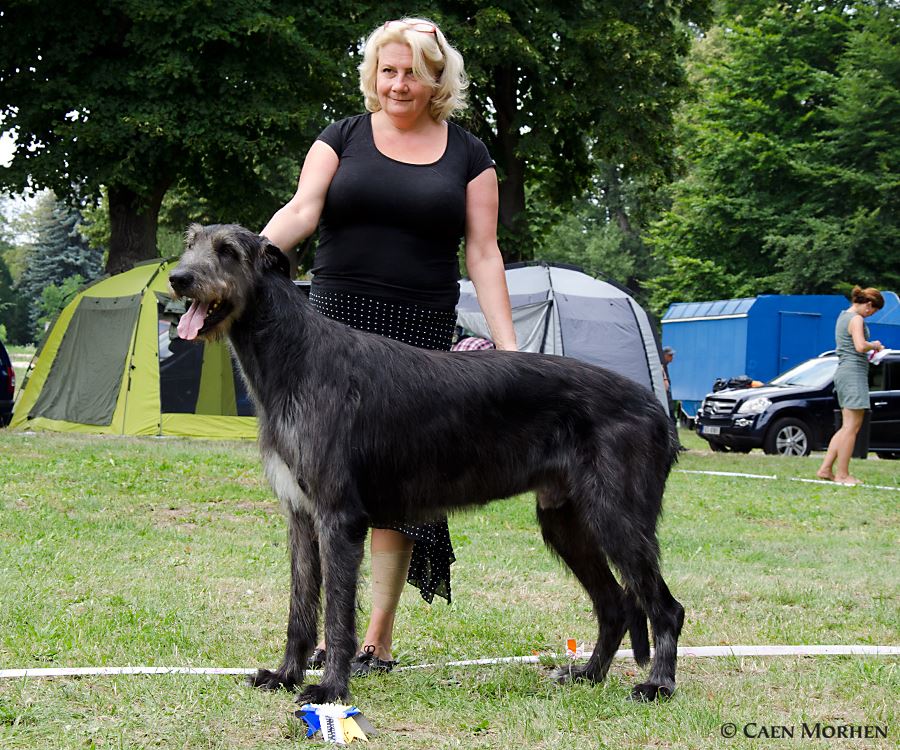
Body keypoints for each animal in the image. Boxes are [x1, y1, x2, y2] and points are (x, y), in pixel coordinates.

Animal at [169, 222, 684, 704]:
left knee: (666, 607)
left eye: (228, 252)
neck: (295, 355)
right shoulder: (300, 515)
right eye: (191, 244)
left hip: (617, 516)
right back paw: (589, 674)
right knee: (615, 604)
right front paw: (285, 675)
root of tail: (657, 411)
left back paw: (657, 684)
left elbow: (336, 612)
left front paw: (331, 688)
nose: (178, 278)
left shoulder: (338, 517)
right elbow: (300, 607)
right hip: (566, 520)